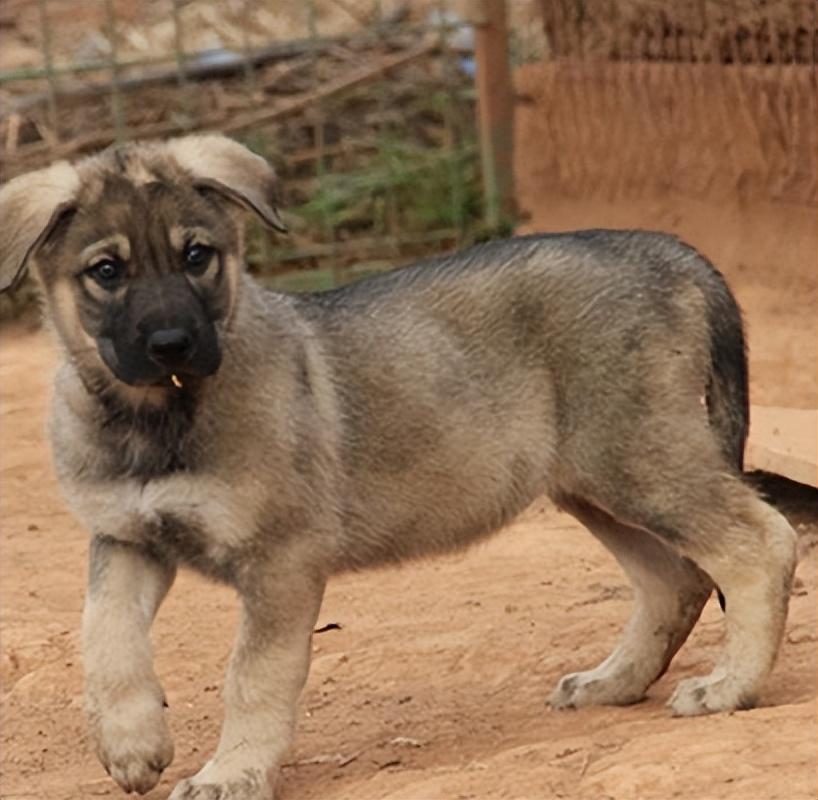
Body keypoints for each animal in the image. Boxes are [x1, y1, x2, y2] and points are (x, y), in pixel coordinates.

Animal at [0, 134, 792, 796]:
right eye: (106, 271)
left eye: (198, 256)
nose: (172, 343)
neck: (155, 417)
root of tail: (669, 252)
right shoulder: (125, 538)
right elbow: (104, 637)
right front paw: (131, 744)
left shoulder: (281, 560)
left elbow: (252, 676)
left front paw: (233, 772)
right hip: (595, 481)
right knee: (675, 580)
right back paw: (614, 682)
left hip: (636, 458)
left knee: (760, 543)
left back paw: (729, 686)